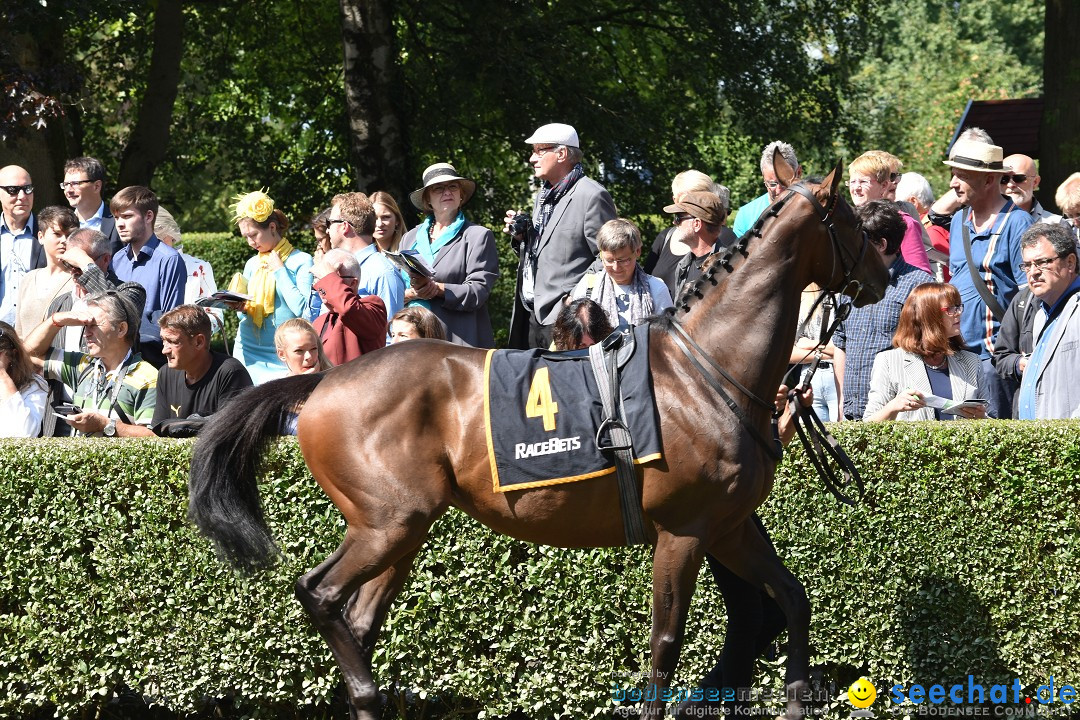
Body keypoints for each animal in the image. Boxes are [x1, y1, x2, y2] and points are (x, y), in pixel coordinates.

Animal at [190, 158, 889, 720]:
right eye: (854, 223)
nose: (883, 275)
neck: (709, 370)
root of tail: (324, 382)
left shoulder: (729, 525)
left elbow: (792, 600)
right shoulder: (686, 530)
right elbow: (666, 647)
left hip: (402, 530)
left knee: (356, 620)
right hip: (388, 523)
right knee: (320, 595)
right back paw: (363, 690)